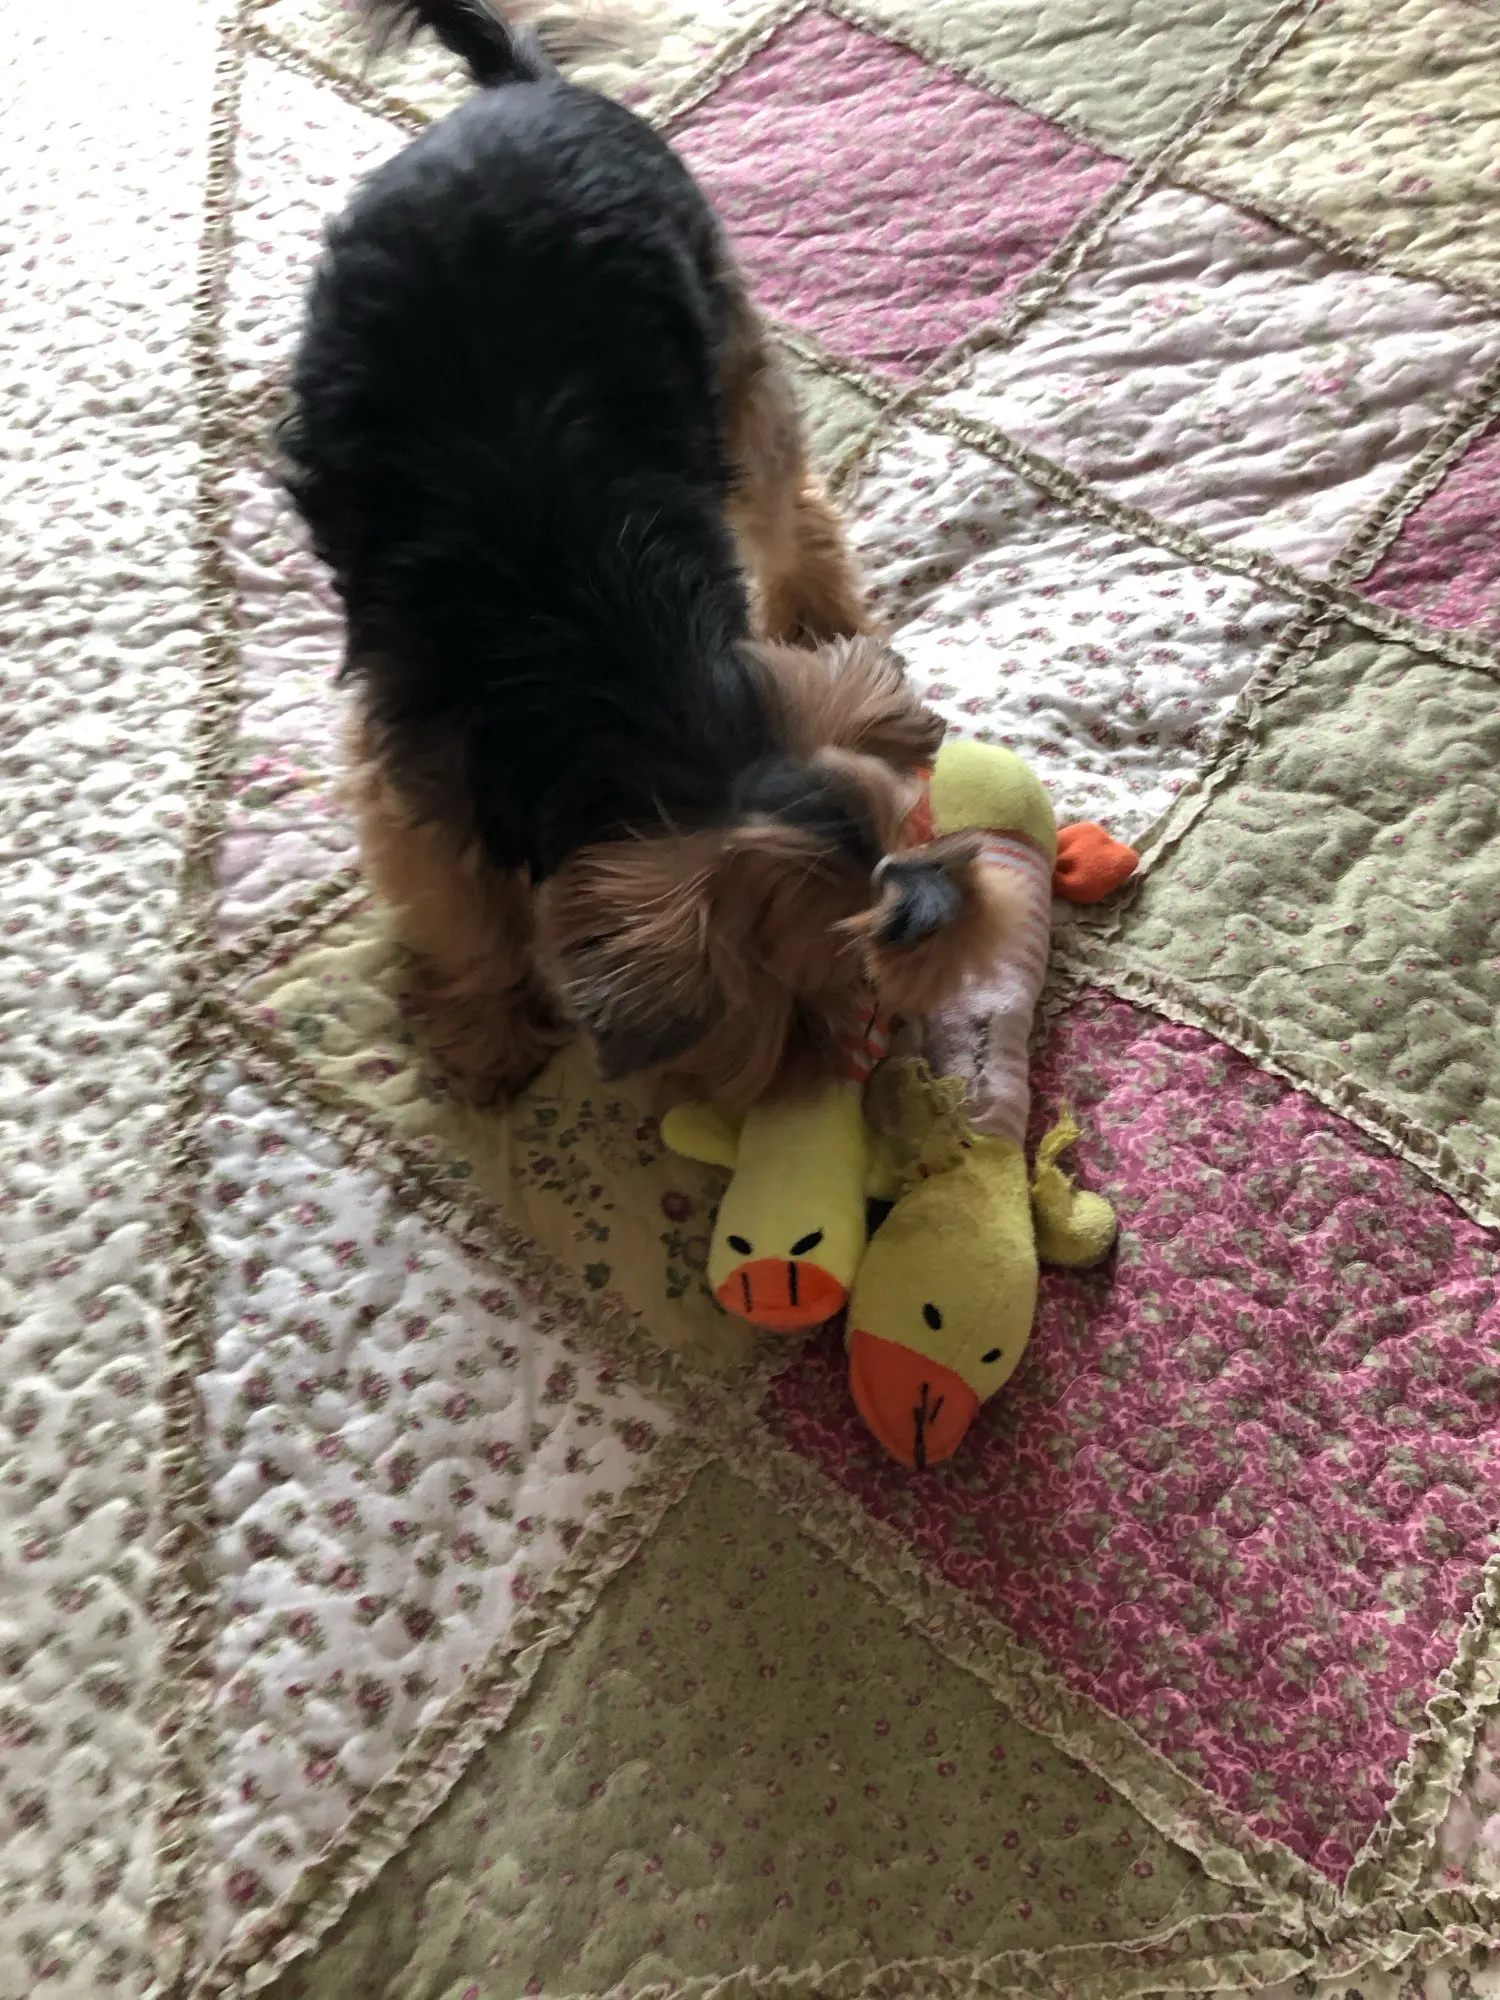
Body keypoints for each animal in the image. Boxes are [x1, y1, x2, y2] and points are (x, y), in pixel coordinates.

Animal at [280, 0, 1017, 1111]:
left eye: (914, 833)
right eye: (839, 963)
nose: (935, 908)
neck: (646, 696)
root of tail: (519, 88)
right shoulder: (415, 773)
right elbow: (459, 904)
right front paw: (492, 1030)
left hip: (723, 336)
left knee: (784, 494)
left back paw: (820, 617)